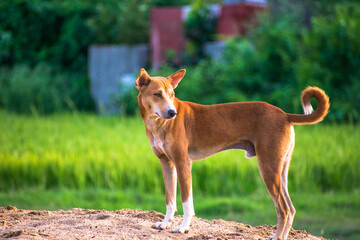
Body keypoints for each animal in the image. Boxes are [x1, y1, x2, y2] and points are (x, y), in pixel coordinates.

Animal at [134, 68, 330, 240]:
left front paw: (183, 227)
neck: (158, 124)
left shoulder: (183, 163)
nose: (172, 112)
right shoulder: (167, 164)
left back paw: (278, 236)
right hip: (281, 170)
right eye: (157, 94)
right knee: (291, 208)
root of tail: (285, 115)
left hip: (268, 168)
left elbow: (186, 203)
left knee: (283, 209)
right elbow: (170, 200)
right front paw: (165, 223)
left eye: (172, 94)